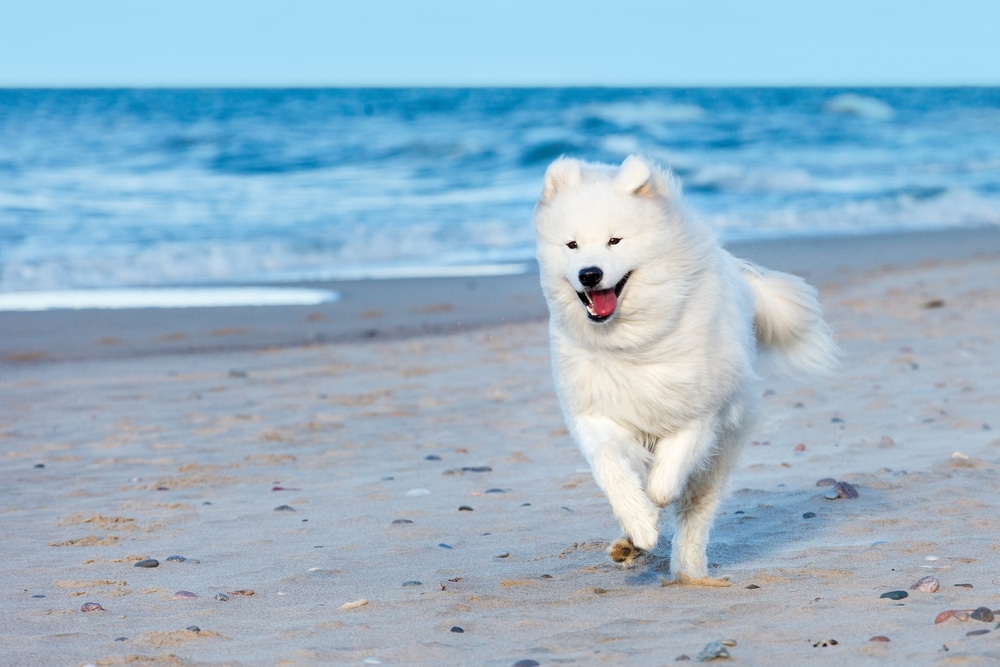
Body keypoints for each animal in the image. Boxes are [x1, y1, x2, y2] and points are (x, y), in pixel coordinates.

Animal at [536, 155, 840, 584]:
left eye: (615, 241)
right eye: (572, 245)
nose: (589, 274)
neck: (632, 345)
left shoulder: (700, 414)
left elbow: (668, 477)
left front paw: (657, 500)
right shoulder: (596, 414)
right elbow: (613, 470)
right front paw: (640, 523)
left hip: (721, 453)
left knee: (695, 513)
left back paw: (689, 572)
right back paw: (628, 545)